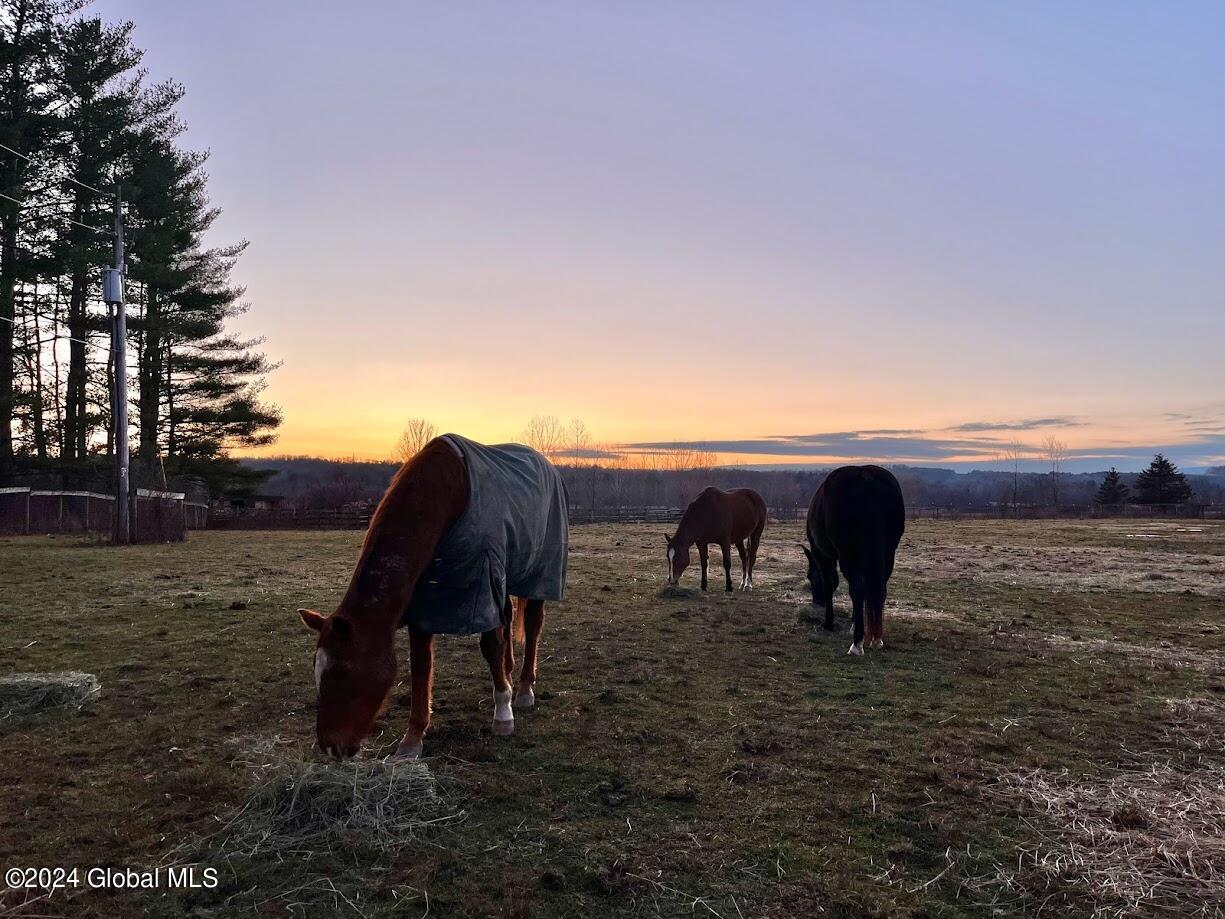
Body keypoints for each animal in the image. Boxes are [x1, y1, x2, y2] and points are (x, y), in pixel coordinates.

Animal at [296, 436, 568, 759]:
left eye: (342, 671)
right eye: (316, 670)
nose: (330, 748)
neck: (448, 494)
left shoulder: (483, 581)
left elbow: (490, 645)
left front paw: (503, 714)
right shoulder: (423, 605)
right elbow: (420, 666)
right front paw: (412, 739)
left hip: (538, 573)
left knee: (533, 624)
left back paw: (524, 690)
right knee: (509, 619)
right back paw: (510, 673)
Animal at [798, 468, 906, 656]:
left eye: (810, 576)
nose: (817, 602)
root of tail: (867, 477)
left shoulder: (822, 555)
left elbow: (829, 584)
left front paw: (829, 623)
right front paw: (856, 624)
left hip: (849, 555)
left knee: (857, 590)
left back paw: (857, 644)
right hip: (887, 554)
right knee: (879, 590)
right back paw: (876, 639)